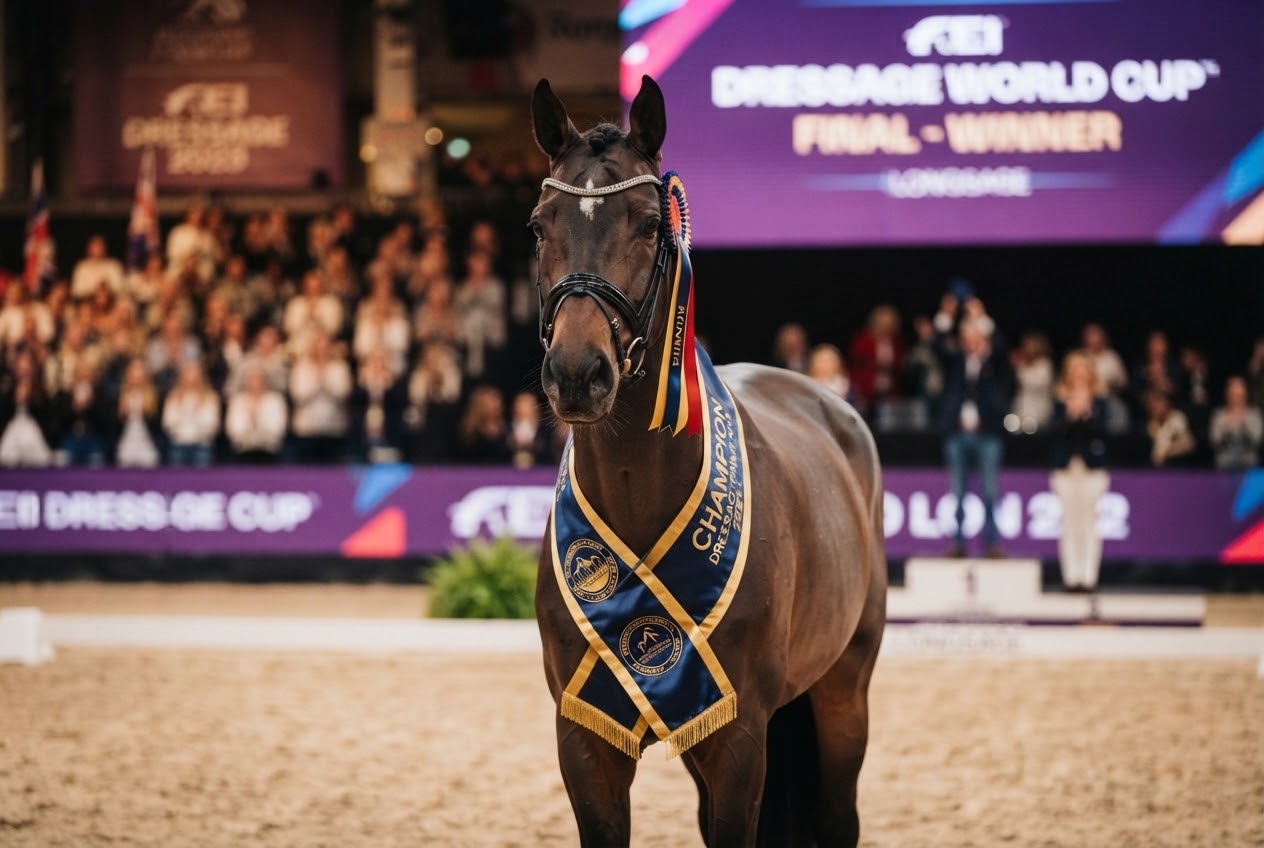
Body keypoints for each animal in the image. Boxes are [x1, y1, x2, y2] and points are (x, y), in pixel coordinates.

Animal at [531, 74, 887, 847]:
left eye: (646, 223)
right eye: (541, 224)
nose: (577, 374)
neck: (639, 494)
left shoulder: (739, 737)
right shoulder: (585, 737)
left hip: (844, 690)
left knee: (839, 813)